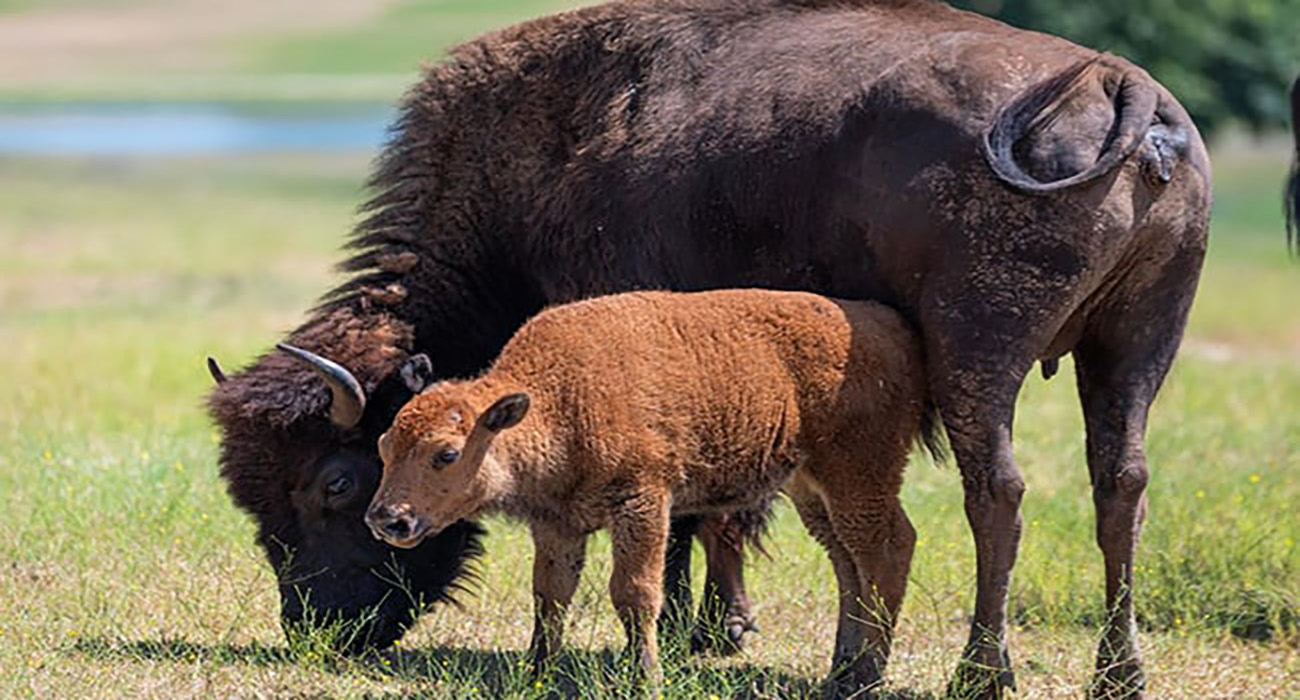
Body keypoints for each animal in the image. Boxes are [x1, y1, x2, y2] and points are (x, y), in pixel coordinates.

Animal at [369, 287, 935, 686]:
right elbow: (550, 596)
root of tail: (892, 327)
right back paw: (841, 670)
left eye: (446, 454)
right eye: (384, 444)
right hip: (811, 489)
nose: (387, 519)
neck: (559, 399)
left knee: (888, 550)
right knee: (848, 564)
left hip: (859, 476)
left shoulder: (643, 503)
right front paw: (536, 673)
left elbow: (635, 592)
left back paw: (865, 677)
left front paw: (646, 677)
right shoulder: (558, 525)